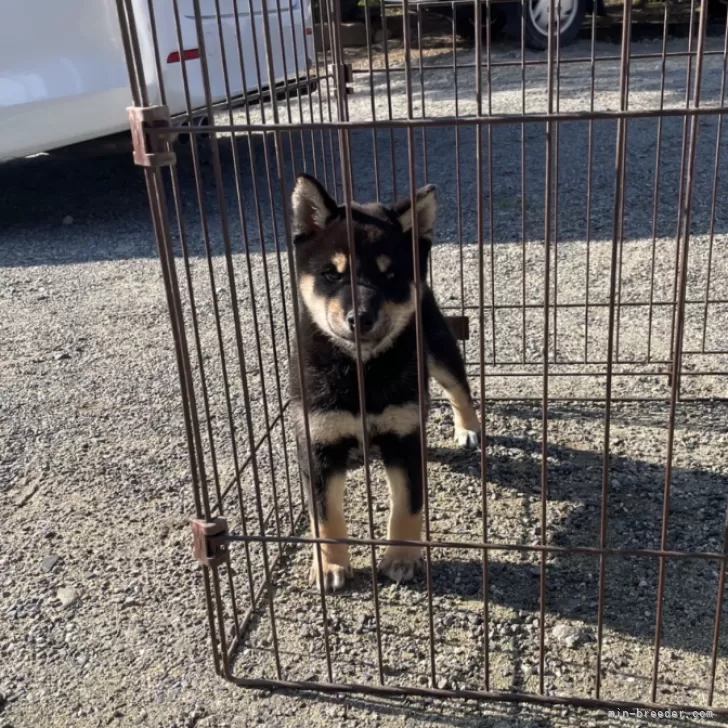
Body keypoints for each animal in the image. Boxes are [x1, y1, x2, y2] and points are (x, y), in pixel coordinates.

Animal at [288, 176, 480, 592]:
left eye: (389, 276)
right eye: (332, 274)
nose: (360, 317)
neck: (361, 371)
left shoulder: (404, 437)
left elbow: (406, 506)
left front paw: (401, 558)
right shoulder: (318, 443)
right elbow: (325, 515)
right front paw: (329, 564)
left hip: (437, 346)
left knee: (459, 390)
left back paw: (469, 429)